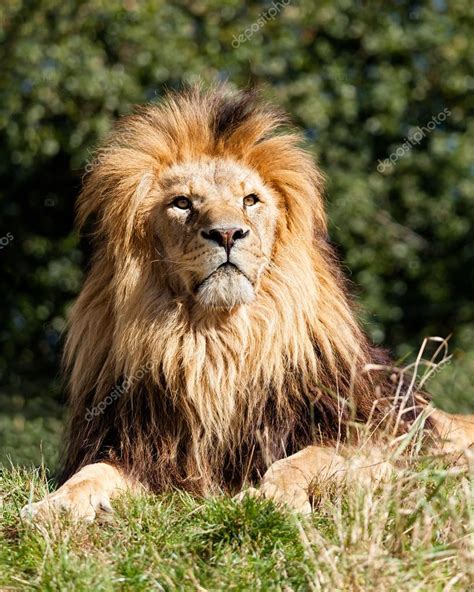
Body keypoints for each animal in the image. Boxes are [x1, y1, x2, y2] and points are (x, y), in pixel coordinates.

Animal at [23, 85, 474, 520]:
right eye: (182, 203)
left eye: (250, 200)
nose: (226, 233)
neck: (217, 344)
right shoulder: (142, 451)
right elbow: (92, 471)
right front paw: (55, 504)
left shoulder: (378, 441)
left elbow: (303, 458)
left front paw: (270, 498)